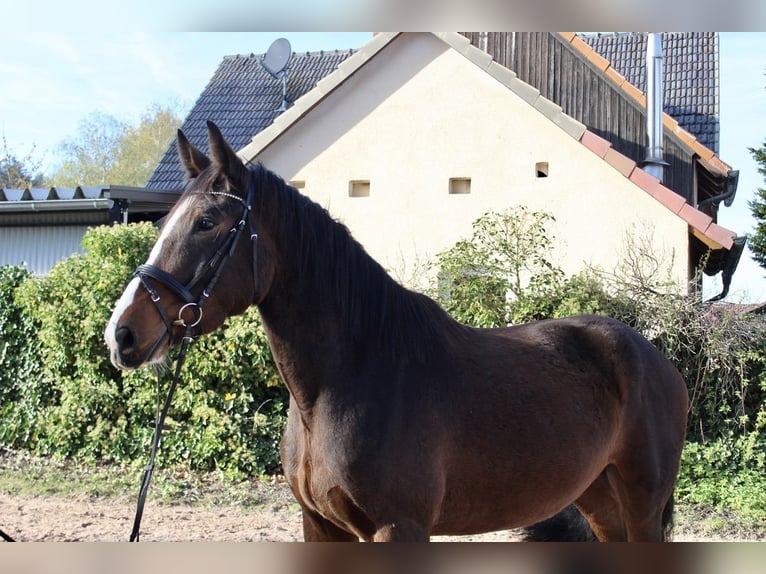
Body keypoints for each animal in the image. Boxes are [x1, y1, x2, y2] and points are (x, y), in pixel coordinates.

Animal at [103, 121, 688, 544]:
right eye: (164, 223)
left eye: (206, 223)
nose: (121, 334)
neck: (346, 379)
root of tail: (654, 359)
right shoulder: (321, 527)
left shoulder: (398, 528)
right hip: (599, 500)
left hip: (641, 503)